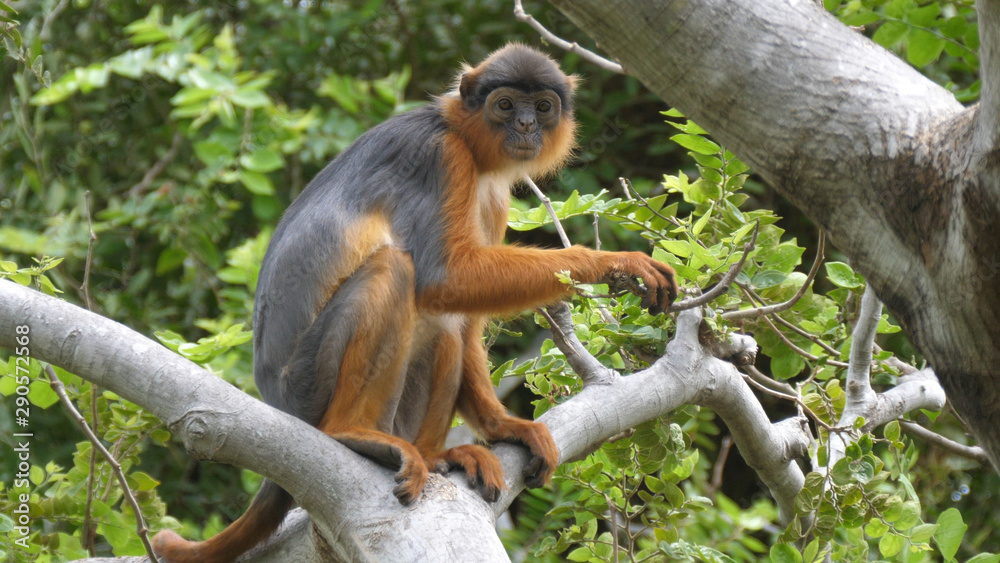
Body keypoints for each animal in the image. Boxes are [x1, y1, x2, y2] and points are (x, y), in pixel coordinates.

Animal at [152, 43, 677, 562]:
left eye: (542, 107)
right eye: (506, 105)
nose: (527, 126)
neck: (461, 135)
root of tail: (277, 402)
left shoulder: (493, 193)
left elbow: (464, 312)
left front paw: (501, 425)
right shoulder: (440, 158)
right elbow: (444, 279)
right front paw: (611, 262)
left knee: (443, 327)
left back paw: (435, 456)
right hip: (306, 385)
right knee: (395, 270)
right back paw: (350, 433)